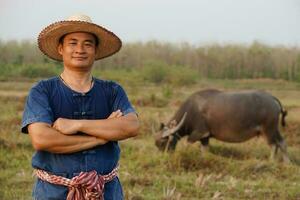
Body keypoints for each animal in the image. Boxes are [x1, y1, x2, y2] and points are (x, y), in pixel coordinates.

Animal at [155, 89, 290, 162]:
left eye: (163, 143)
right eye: (156, 144)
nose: (162, 158)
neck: (192, 110)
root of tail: (271, 98)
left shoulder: (199, 133)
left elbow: (188, 144)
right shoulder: (205, 137)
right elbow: (204, 150)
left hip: (268, 129)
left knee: (274, 145)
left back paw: (271, 161)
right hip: (273, 129)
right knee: (282, 142)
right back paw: (287, 163)